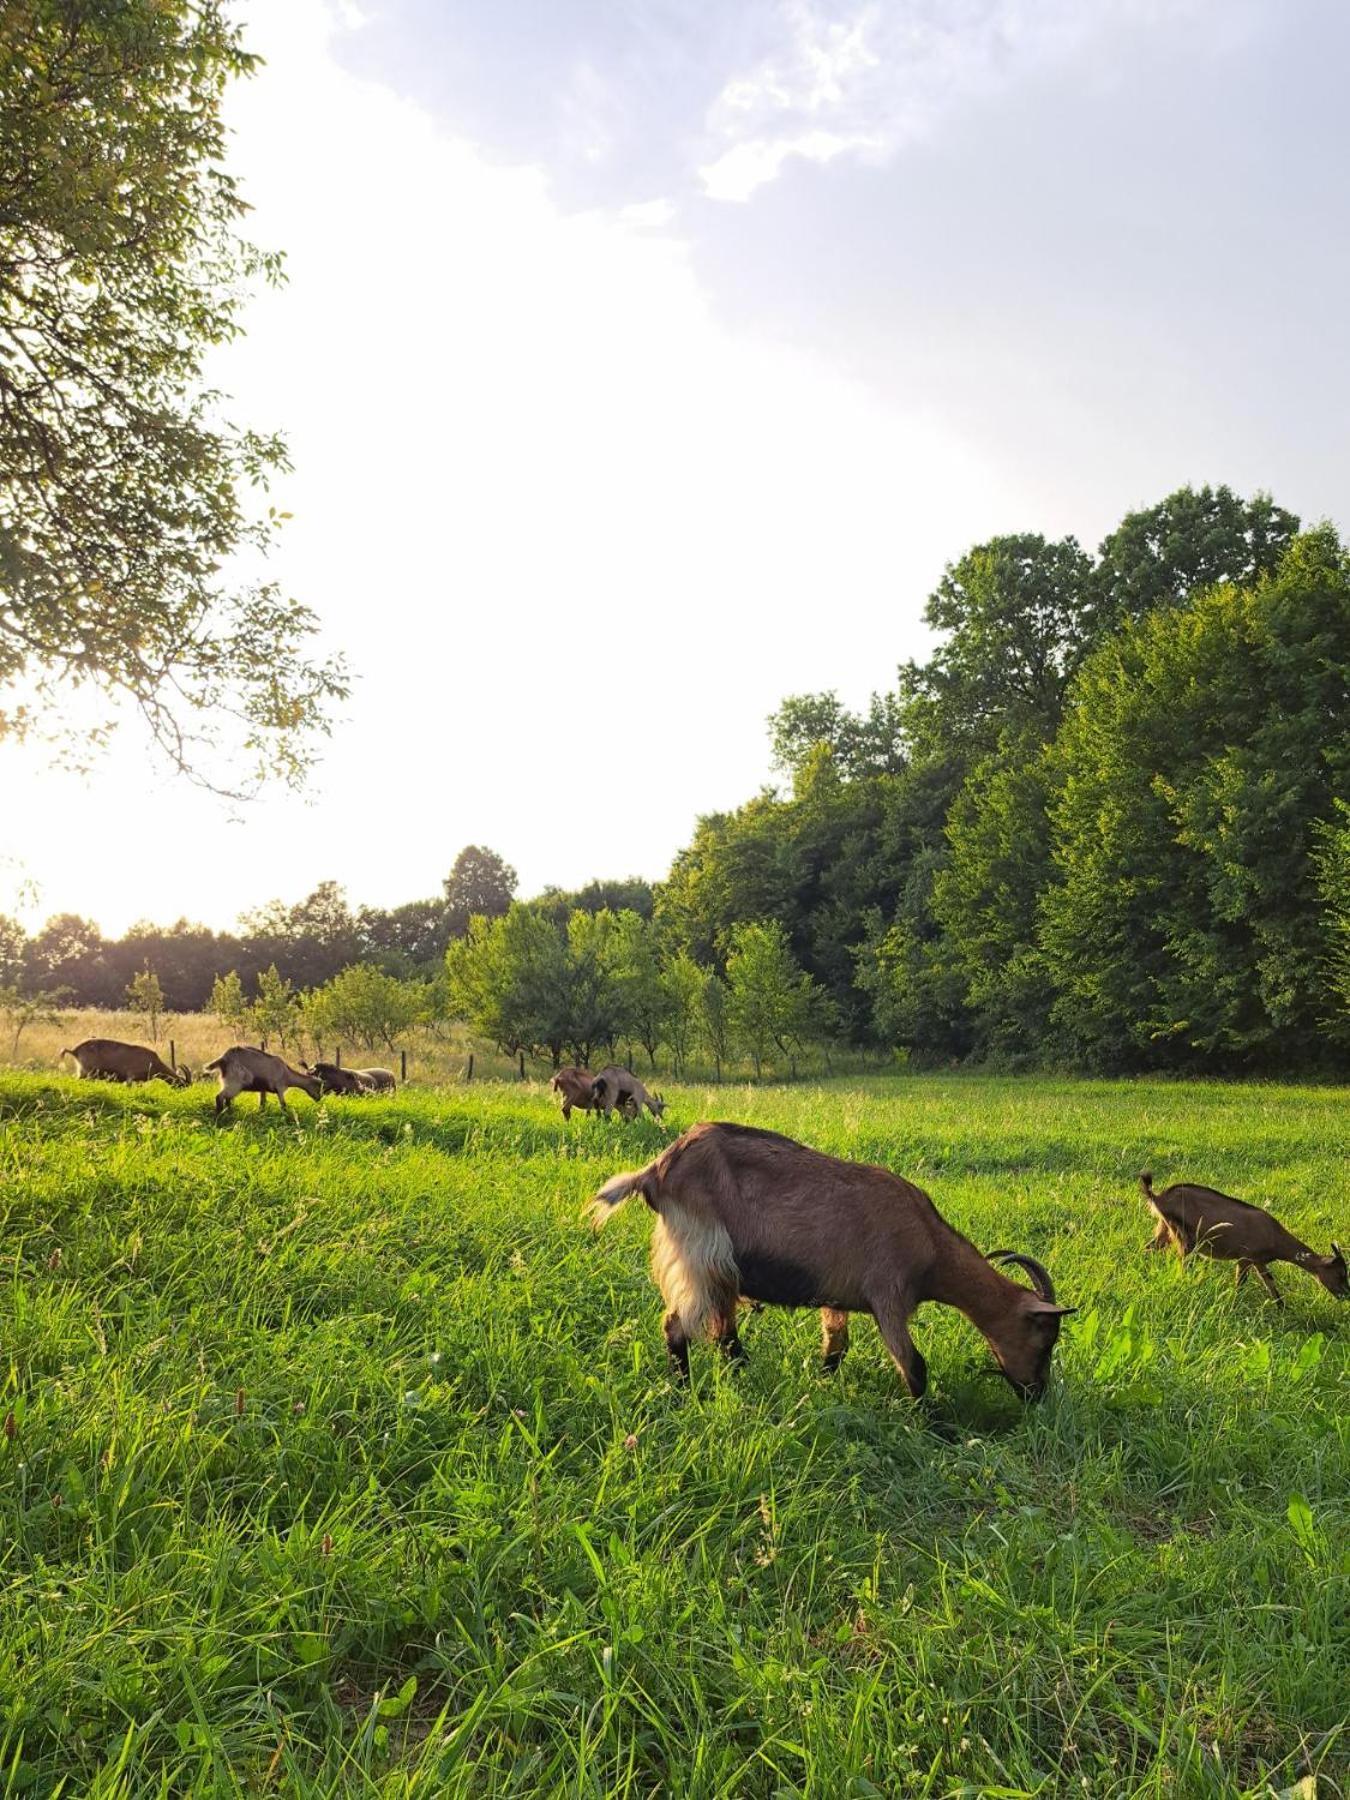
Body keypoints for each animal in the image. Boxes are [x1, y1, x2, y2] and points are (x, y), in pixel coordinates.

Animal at [61, 1036, 189, 1087]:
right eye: (184, 1084)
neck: (154, 1062)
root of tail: (75, 1050)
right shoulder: (130, 1077)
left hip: (83, 1072)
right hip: (88, 1072)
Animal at [590, 1123, 1080, 1404]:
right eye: (1046, 1338)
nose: (1036, 1395)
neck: (929, 1242)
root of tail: (656, 1170)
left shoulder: (836, 1295)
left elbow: (836, 1348)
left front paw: (823, 1386)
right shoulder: (888, 1297)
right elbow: (914, 1365)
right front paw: (938, 1430)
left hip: (722, 1270)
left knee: (724, 1333)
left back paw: (744, 1377)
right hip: (702, 1256)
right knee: (678, 1326)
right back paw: (683, 1392)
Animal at [1144, 1166, 1346, 1310]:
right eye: (1341, 1274)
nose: (1346, 1295)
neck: (1275, 1238)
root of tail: (1158, 1197)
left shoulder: (1259, 1261)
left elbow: (1270, 1283)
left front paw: (1283, 1309)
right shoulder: (1245, 1258)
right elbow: (1240, 1283)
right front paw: (1234, 1305)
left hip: (1164, 1228)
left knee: (1149, 1247)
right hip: (1183, 1236)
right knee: (1183, 1261)